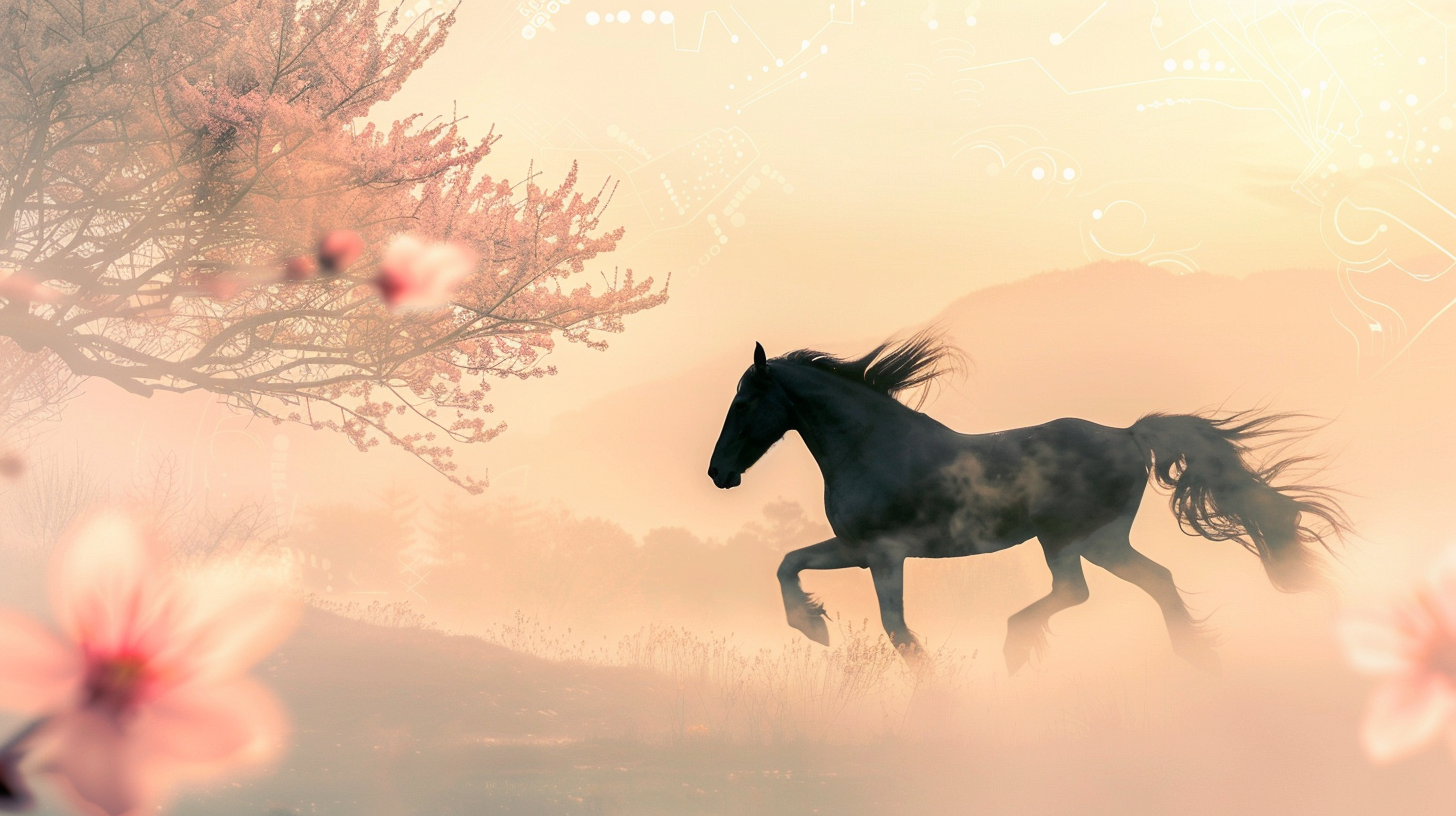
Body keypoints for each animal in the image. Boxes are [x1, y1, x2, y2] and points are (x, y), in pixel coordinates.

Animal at [706, 331, 1348, 673]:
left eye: (743, 403)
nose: (718, 473)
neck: (871, 446)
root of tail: (1129, 435)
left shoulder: (885, 553)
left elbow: (898, 630)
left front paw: (932, 691)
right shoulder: (857, 548)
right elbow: (788, 563)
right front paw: (813, 624)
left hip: (1067, 538)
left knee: (1078, 591)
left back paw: (1017, 645)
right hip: (1100, 541)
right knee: (1155, 581)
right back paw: (1196, 661)